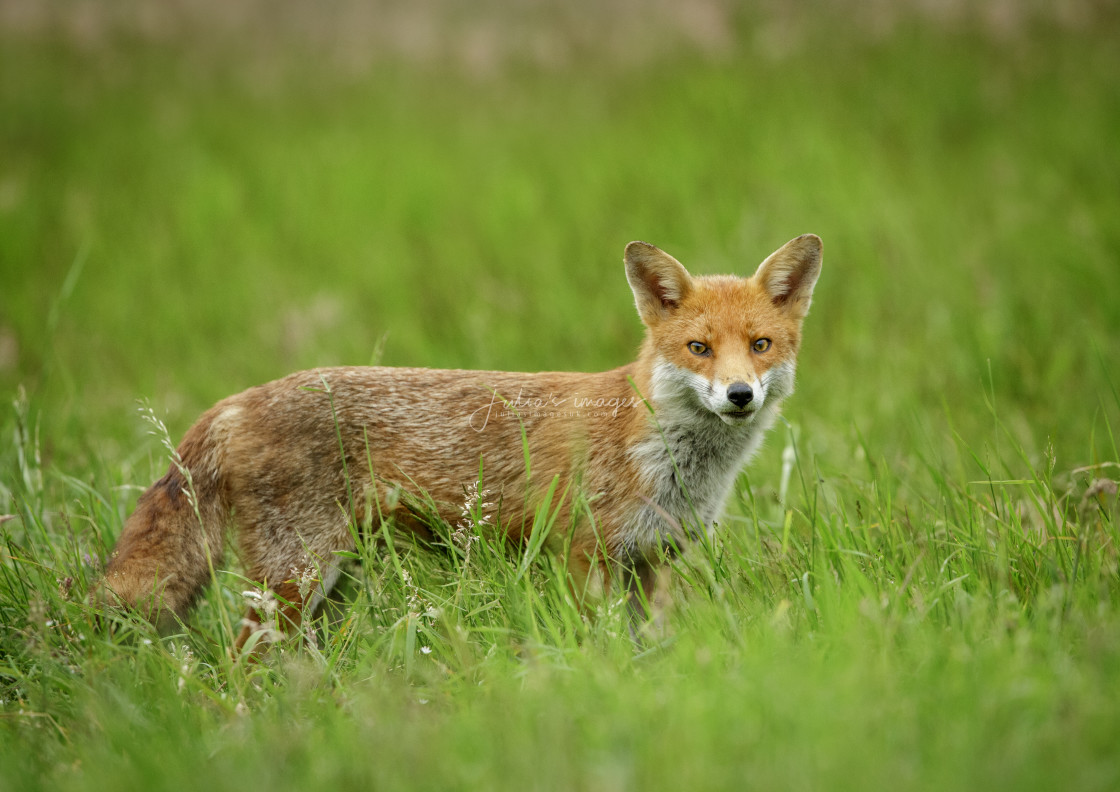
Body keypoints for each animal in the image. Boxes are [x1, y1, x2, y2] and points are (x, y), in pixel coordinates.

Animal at [98, 235, 824, 645]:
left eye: (760, 345)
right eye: (699, 349)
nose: (739, 395)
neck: (668, 460)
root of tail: (234, 401)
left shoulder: (652, 563)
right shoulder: (583, 555)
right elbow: (600, 646)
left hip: (329, 587)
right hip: (297, 580)